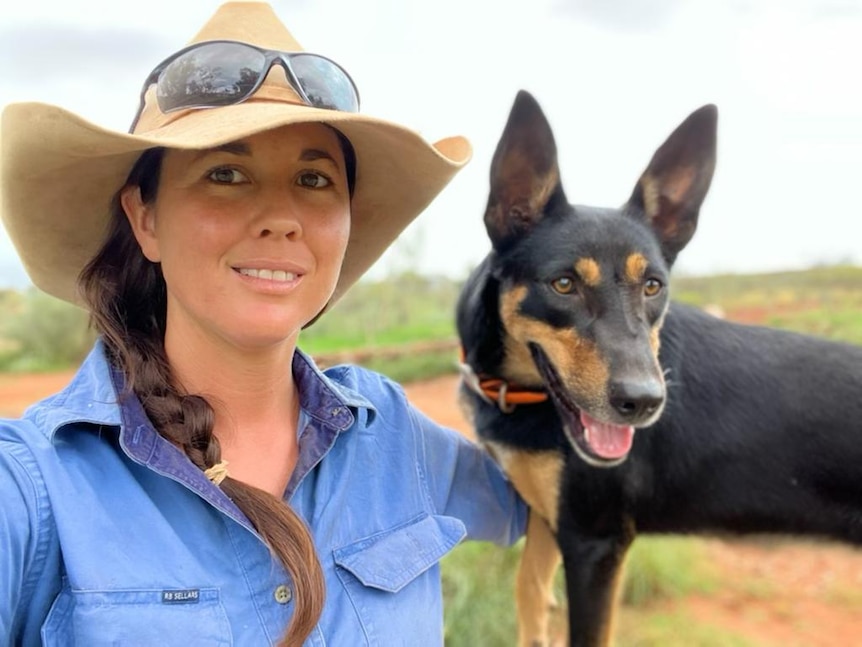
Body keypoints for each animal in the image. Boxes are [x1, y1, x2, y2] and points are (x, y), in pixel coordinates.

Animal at [462, 92, 862, 647]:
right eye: (563, 284)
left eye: (653, 286)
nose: (644, 403)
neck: (519, 393)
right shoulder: (546, 515)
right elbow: (529, 597)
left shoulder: (595, 541)